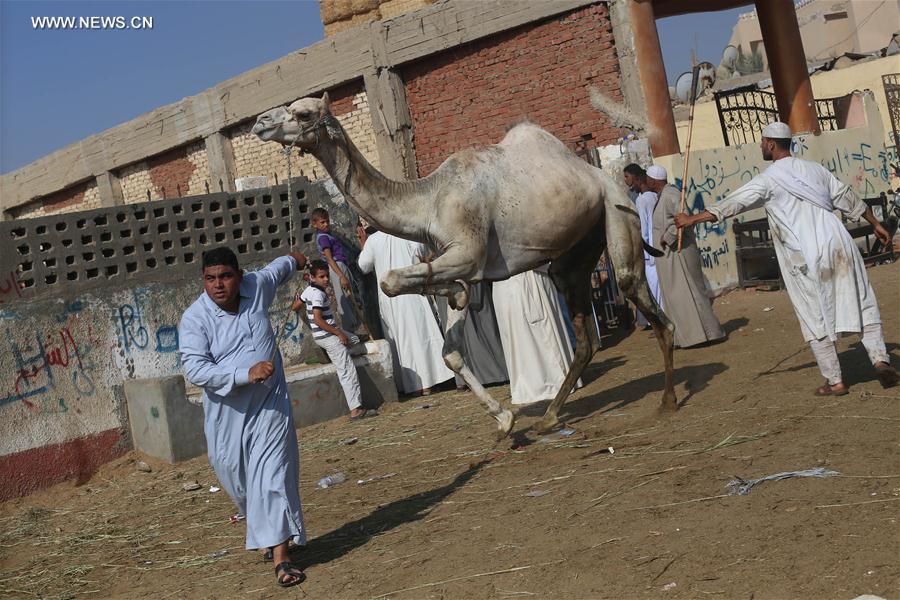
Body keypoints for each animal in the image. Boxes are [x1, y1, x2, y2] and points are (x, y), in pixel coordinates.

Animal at [253, 95, 676, 440]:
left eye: (303, 113)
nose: (260, 122)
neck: (428, 200)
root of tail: (602, 176)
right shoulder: (461, 261)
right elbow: (451, 350)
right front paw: (504, 419)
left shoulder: (467, 252)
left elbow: (390, 280)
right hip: (577, 248)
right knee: (585, 333)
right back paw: (549, 417)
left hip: (616, 212)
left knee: (643, 300)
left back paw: (667, 401)